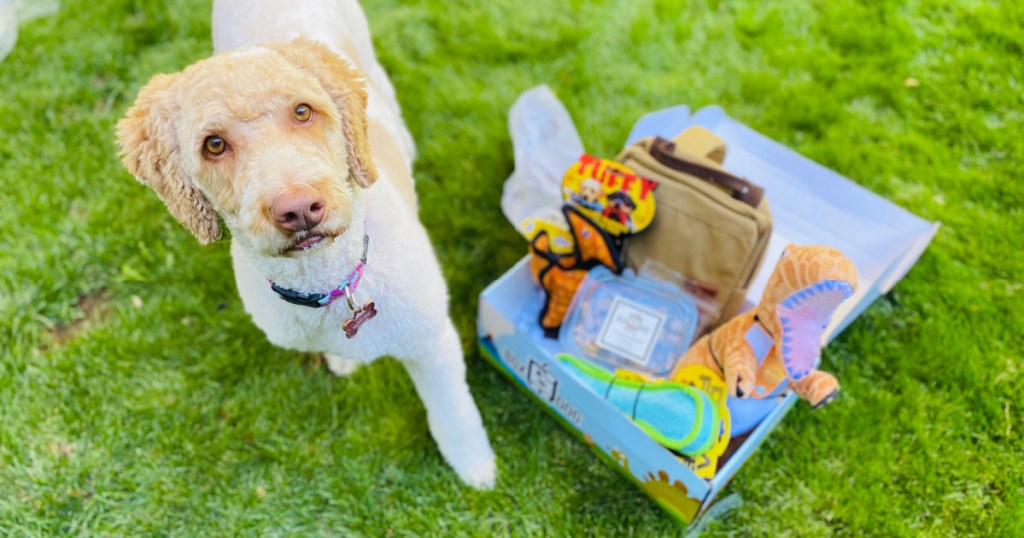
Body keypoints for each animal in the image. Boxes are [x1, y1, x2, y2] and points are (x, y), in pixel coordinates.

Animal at [115, 0, 495, 485]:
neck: (333, 282)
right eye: (214, 144)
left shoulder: (432, 344)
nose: (298, 210)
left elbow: (454, 414)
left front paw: (477, 469)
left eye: (302, 111)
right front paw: (346, 361)